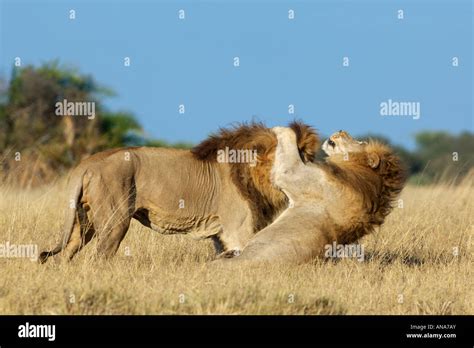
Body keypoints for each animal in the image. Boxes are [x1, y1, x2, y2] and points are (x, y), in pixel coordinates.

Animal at [37, 121, 318, 262]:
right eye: (293, 157)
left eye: (303, 155)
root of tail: (85, 165)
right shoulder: (238, 230)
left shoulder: (221, 236)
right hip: (114, 221)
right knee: (98, 258)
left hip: (82, 223)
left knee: (66, 255)